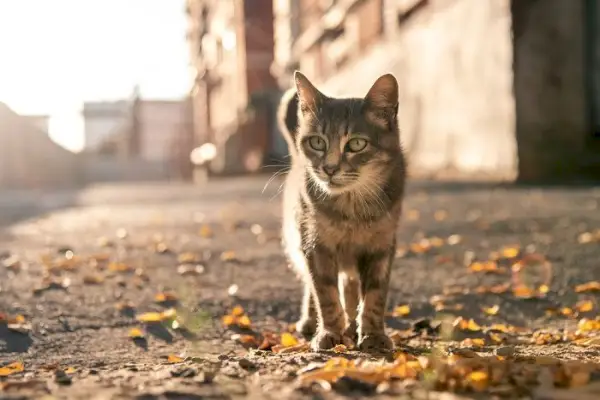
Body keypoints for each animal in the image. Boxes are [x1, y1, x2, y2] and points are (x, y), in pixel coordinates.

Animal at [278, 70, 408, 352]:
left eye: (357, 144)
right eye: (317, 142)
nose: (329, 168)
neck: (352, 210)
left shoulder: (381, 247)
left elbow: (375, 295)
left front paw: (372, 334)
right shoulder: (316, 245)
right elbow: (325, 293)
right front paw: (330, 332)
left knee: (349, 285)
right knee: (313, 286)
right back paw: (312, 322)